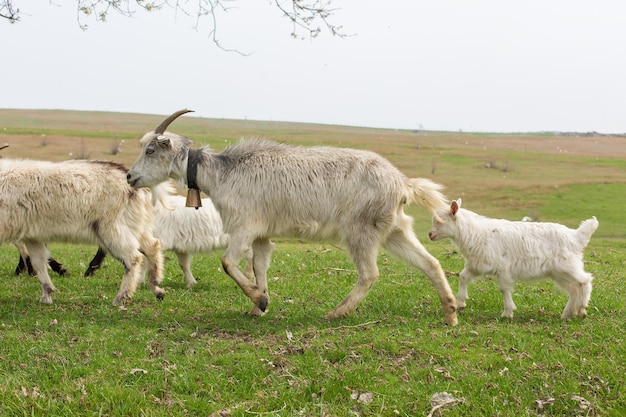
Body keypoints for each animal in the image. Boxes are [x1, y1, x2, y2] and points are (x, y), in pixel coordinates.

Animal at [0, 158, 165, 304]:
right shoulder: (32, 236)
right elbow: (39, 262)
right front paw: (47, 295)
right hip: (135, 225)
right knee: (152, 246)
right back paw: (157, 288)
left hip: (112, 229)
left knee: (134, 258)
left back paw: (121, 297)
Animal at [83, 191, 254, 286]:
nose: (89, 271)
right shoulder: (181, 246)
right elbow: (183, 265)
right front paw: (191, 283)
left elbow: (147, 262)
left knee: (251, 255)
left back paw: (248, 274)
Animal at [124, 109, 456, 324]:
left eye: (151, 150)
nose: (129, 177)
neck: (223, 173)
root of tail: (402, 183)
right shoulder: (261, 234)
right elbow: (259, 267)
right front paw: (258, 306)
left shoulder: (245, 226)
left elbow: (228, 263)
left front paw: (259, 300)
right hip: (394, 229)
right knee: (431, 263)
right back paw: (450, 312)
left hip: (360, 229)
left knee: (370, 273)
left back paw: (337, 312)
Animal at [426, 198, 596, 318]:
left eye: (440, 220)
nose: (430, 234)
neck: (476, 233)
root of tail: (576, 236)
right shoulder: (477, 265)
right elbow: (463, 276)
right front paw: (461, 302)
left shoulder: (503, 268)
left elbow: (504, 288)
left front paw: (507, 312)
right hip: (558, 273)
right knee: (574, 289)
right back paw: (568, 313)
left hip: (567, 266)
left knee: (585, 280)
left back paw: (582, 309)